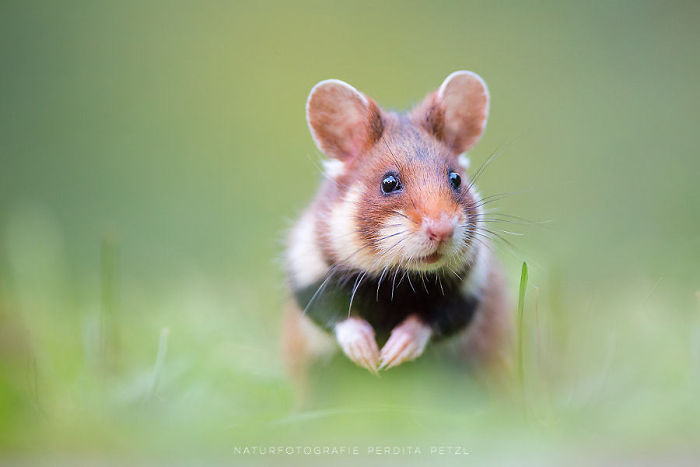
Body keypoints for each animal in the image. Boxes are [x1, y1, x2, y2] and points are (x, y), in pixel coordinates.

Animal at [282, 71, 511, 379]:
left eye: (455, 179)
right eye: (389, 182)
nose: (442, 230)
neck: (399, 279)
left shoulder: (470, 289)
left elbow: (434, 320)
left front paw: (392, 355)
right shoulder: (308, 270)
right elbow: (337, 315)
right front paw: (370, 358)